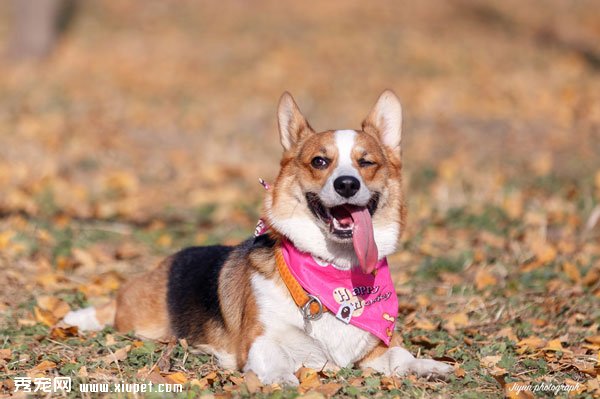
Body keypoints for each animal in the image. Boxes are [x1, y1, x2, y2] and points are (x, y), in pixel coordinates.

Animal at [63, 90, 452, 384]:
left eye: (366, 162)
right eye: (320, 161)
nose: (347, 184)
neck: (336, 272)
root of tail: (165, 263)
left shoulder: (373, 350)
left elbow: (400, 355)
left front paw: (429, 365)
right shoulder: (260, 340)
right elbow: (275, 360)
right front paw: (283, 381)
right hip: (141, 319)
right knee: (112, 311)